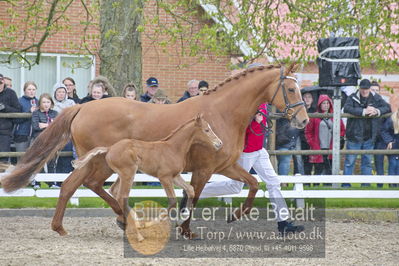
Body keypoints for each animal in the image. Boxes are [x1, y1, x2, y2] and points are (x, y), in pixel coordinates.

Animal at [72, 114, 222, 239]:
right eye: (206, 130)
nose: (219, 143)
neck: (173, 148)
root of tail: (109, 149)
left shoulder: (175, 176)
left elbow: (190, 189)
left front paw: (182, 217)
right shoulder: (164, 177)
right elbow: (172, 201)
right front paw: (151, 224)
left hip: (123, 174)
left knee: (114, 191)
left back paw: (135, 223)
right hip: (129, 173)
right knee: (121, 197)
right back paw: (138, 233)